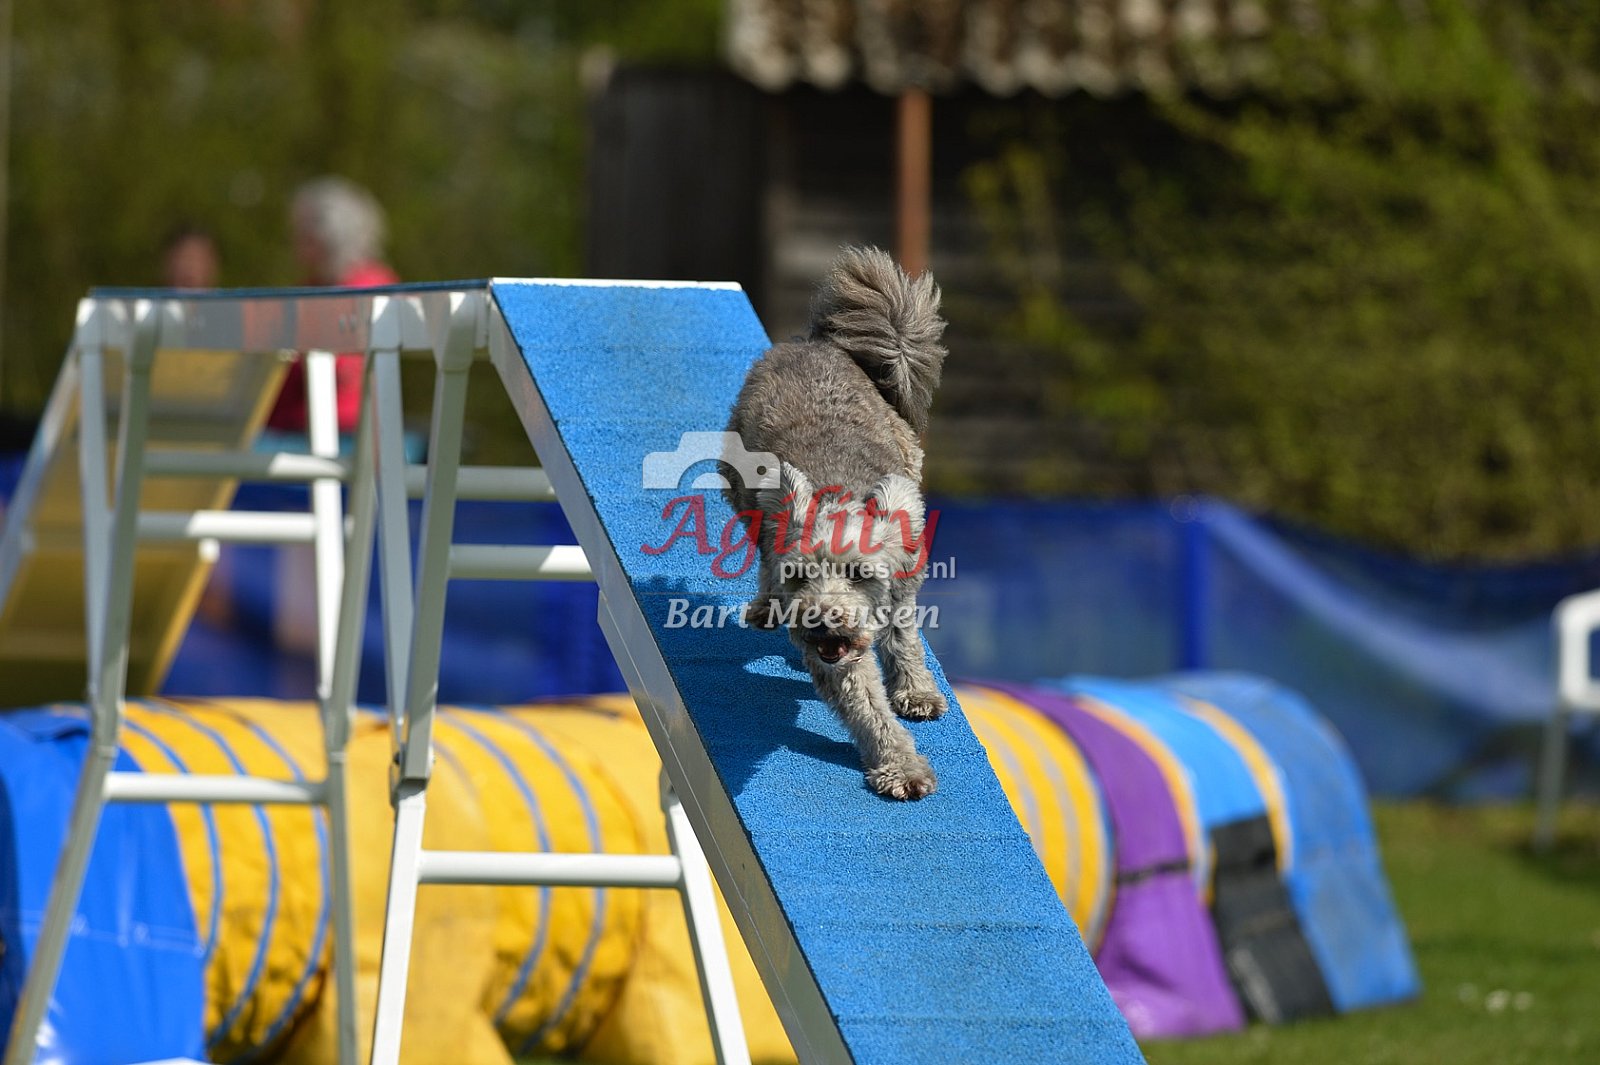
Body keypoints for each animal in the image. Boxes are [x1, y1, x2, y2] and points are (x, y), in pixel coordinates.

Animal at [724, 246, 948, 800]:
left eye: (860, 575)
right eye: (801, 576)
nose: (821, 622)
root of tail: (818, 342)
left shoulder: (904, 580)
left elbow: (905, 637)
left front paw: (916, 690)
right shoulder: (838, 658)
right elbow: (866, 705)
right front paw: (901, 767)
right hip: (744, 491)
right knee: (762, 548)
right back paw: (766, 606)